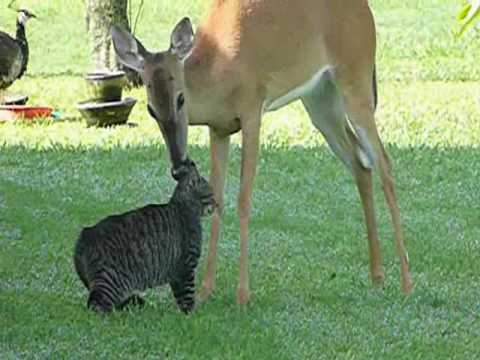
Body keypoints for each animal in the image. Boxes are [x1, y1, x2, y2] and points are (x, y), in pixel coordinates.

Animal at [73, 162, 216, 314]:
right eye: (211, 194)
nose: (218, 203)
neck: (183, 206)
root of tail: (85, 234)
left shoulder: (176, 274)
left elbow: (180, 297)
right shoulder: (186, 268)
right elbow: (187, 297)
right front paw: (191, 314)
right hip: (109, 281)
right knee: (95, 306)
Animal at [111, 0, 412, 306]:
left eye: (181, 98)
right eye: (150, 109)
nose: (177, 164)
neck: (218, 73)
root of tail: (366, 11)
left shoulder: (252, 110)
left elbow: (244, 199)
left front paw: (243, 294)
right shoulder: (218, 129)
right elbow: (217, 199)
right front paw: (206, 290)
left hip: (356, 76)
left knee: (384, 163)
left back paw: (406, 282)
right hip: (320, 98)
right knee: (360, 163)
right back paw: (377, 277)